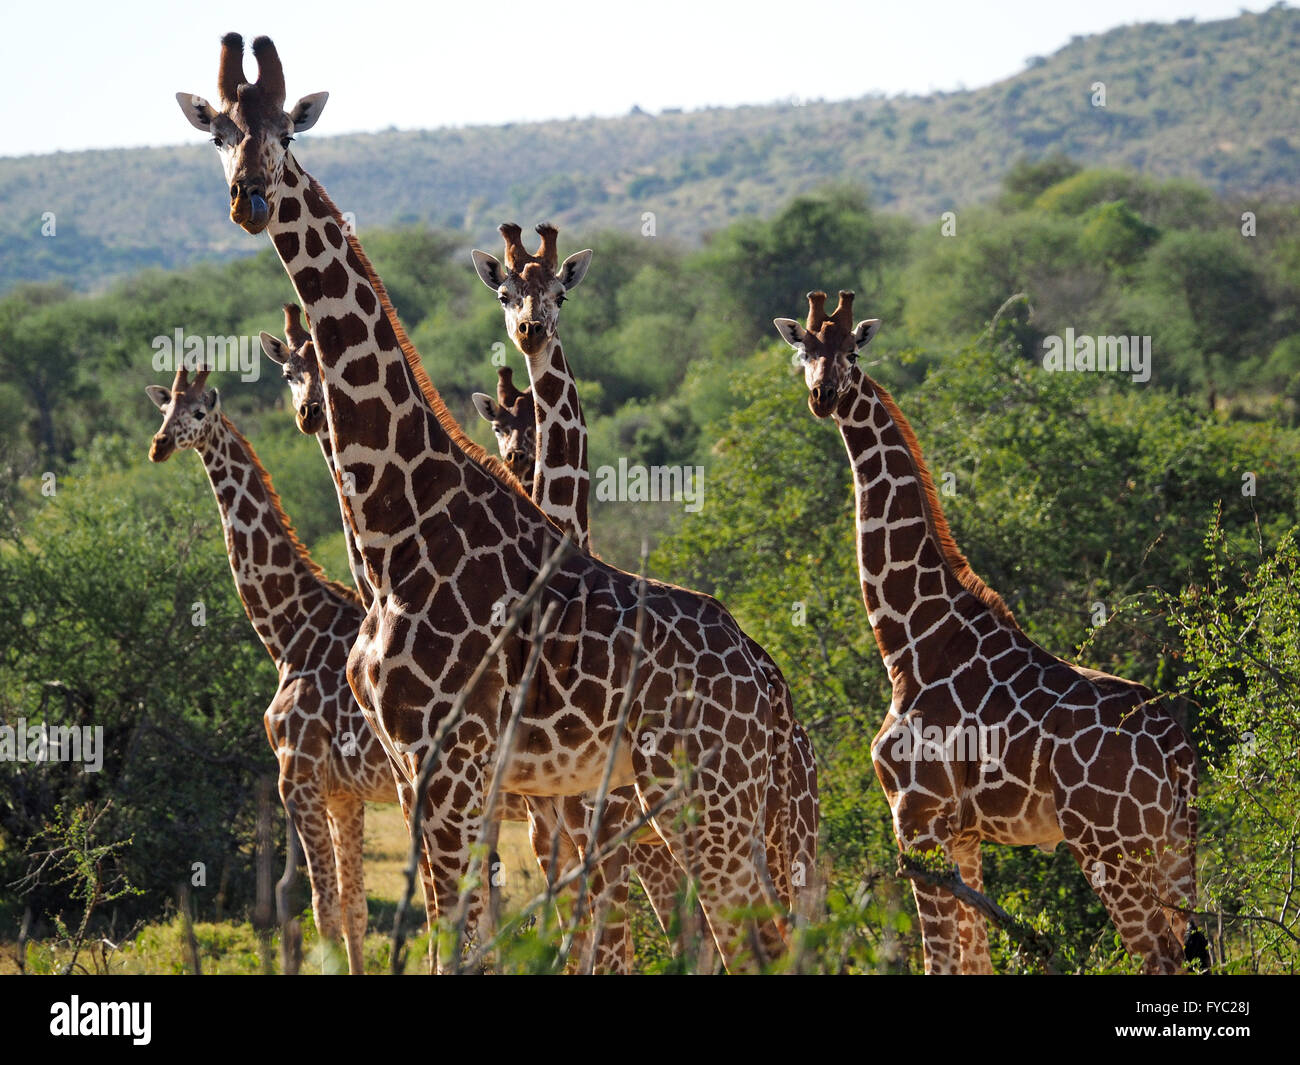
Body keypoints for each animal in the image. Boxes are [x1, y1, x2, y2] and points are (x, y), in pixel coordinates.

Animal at [144, 364, 392, 972]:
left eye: (199, 412)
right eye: (163, 410)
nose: (159, 445)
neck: (288, 633)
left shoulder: (295, 777)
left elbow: (321, 911)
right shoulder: (344, 792)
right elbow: (354, 910)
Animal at [178, 33, 785, 972]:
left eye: (288, 131)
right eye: (219, 134)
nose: (250, 198)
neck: (399, 525)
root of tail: (771, 687)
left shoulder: (449, 761)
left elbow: (461, 939)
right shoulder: (417, 766)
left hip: (701, 794)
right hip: (706, 801)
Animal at [774, 291, 1201, 972]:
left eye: (853, 352)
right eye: (805, 350)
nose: (825, 395)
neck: (911, 640)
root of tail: (1179, 752)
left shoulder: (915, 816)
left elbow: (939, 959)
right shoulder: (963, 831)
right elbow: (973, 958)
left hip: (1108, 845)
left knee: (1158, 955)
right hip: (1170, 848)